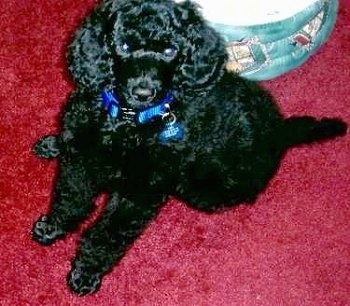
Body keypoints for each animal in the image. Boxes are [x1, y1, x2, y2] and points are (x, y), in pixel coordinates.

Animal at [32, 0, 348, 296]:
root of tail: (279, 131)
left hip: (209, 189)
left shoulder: (139, 192)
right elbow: (69, 198)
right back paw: (53, 143)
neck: (128, 121)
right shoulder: (80, 161)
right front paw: (53, 227)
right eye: (123, 46)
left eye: (170, 51)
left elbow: (107, 234)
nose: (143, 92)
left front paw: (86, 271)